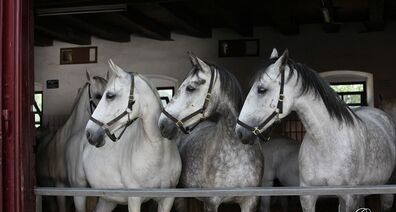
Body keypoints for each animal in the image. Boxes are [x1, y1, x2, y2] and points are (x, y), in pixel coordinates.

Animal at [84, 60, 182, 212]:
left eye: (110, 95)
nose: (89, 133)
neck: (159, 153)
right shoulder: (134, 199)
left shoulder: (167, 200)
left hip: (107, 200)